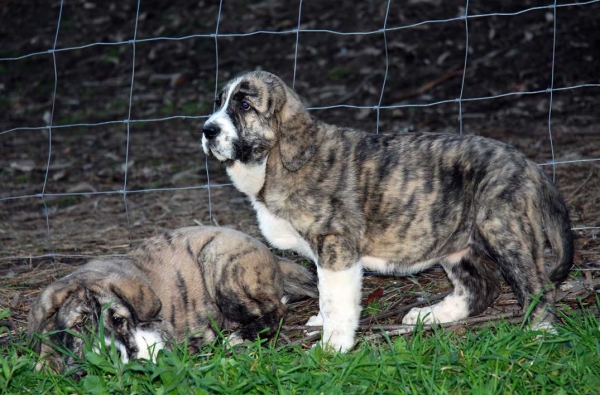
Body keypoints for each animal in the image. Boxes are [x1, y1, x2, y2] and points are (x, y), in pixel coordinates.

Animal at [27, 227, 318, 372]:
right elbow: (46, 352)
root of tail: (272, 255)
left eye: (118, 320)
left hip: (218, 261)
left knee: (276, 311)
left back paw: (238, 337)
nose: (110, 354)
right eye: (79, 326)